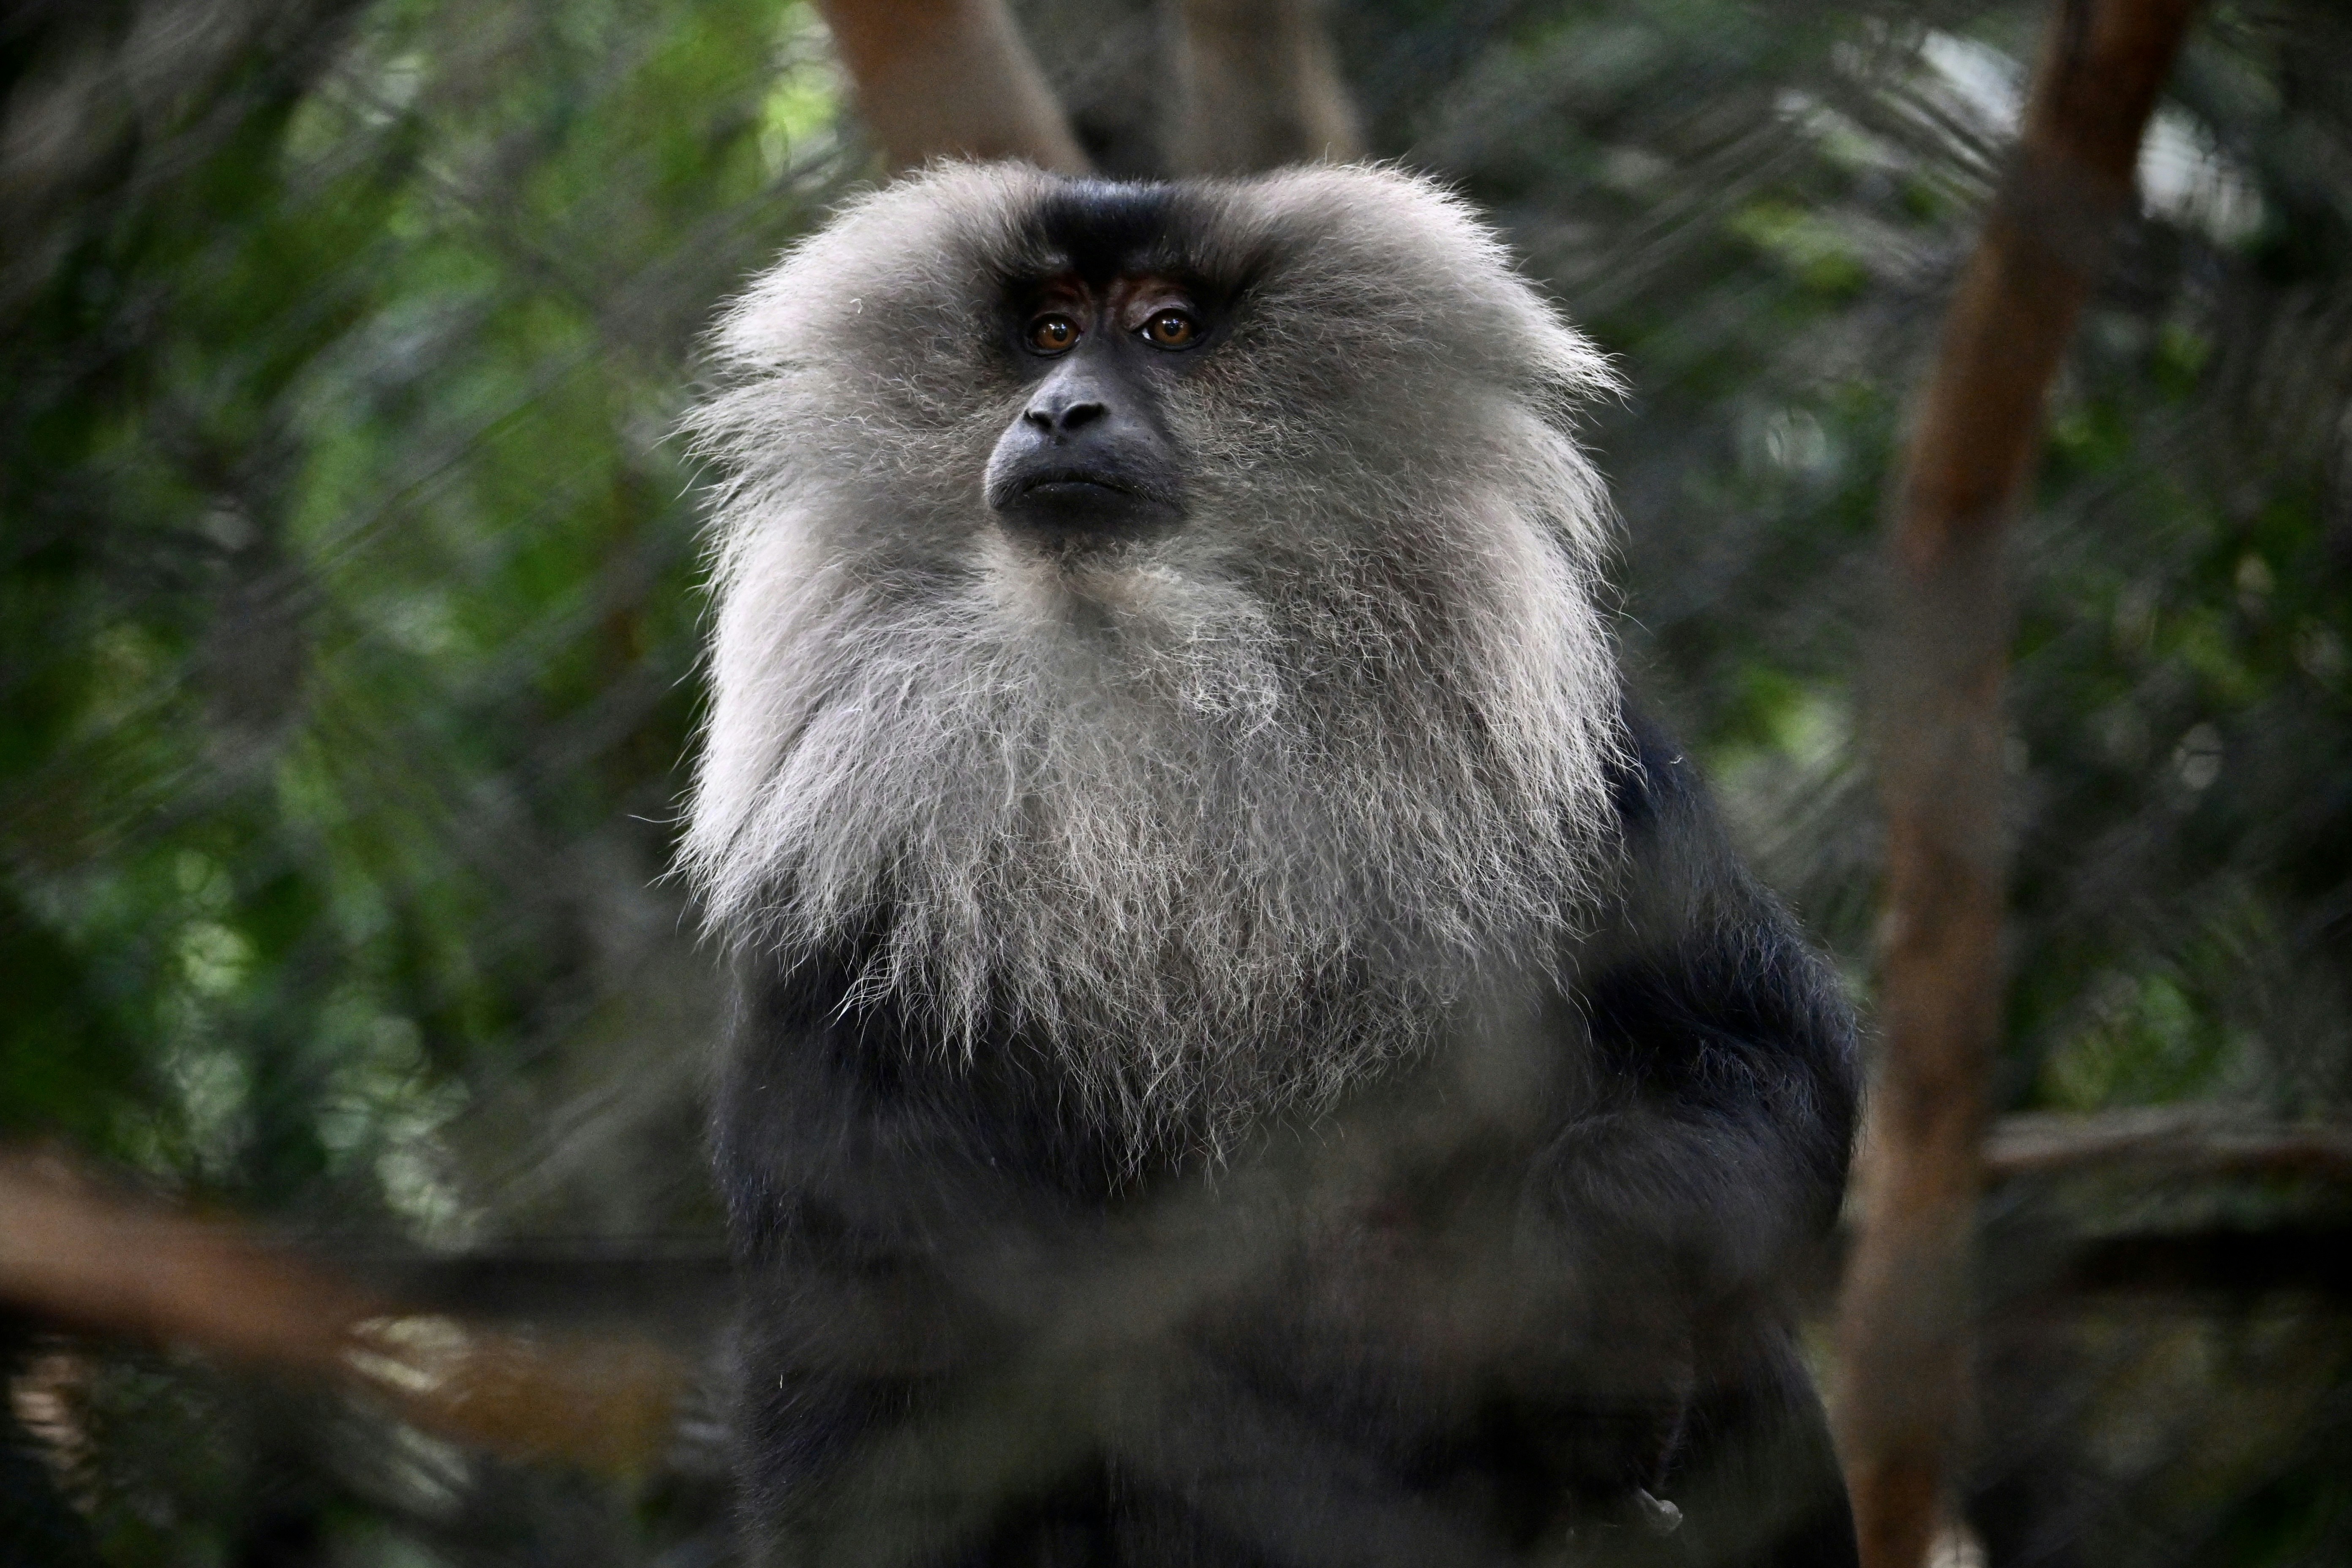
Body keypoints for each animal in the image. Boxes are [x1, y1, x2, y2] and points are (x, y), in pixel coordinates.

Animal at [683, 162, 1860, 1568]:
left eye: (1168, 330)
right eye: (1047, 328)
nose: (1060, 408)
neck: (1145, 672)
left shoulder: (1588, 780)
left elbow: (1768, 1074)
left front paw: (1587, 1322)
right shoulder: (839, 917)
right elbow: (870, 1363)